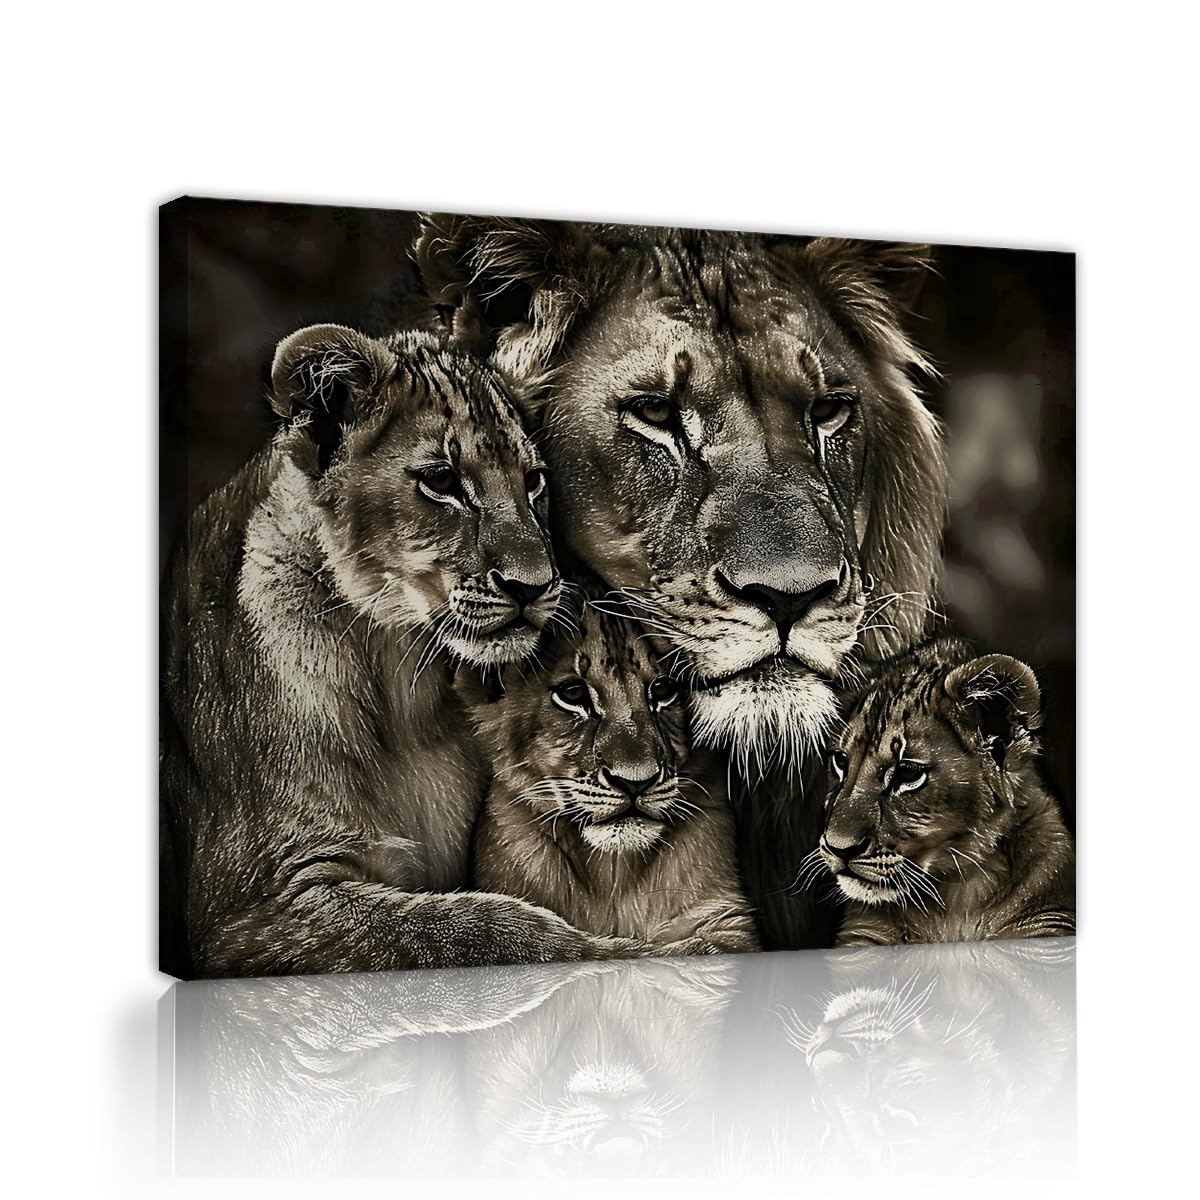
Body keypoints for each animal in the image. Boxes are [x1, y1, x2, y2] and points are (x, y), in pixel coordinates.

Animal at [160, 322, 642, 977]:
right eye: (441, 481)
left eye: (534, 482)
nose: (535, 585)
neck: (400, 683)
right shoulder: (247, 911)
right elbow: (473, 928)